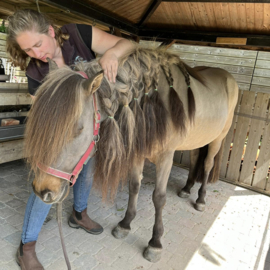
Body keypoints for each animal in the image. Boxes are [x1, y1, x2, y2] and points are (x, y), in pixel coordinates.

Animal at [23, 46, 238, 262]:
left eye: (78, 129)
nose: (42, 190)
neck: (154, 103)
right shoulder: (138, 153)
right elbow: (134, 187)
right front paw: (125, 224)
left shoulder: (165, 158)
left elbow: (159, 197)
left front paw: (155, 243)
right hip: (197, 140)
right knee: (194, 159)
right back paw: (186, 188)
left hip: (218, 139)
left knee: (208, 165)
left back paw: (200, 199)